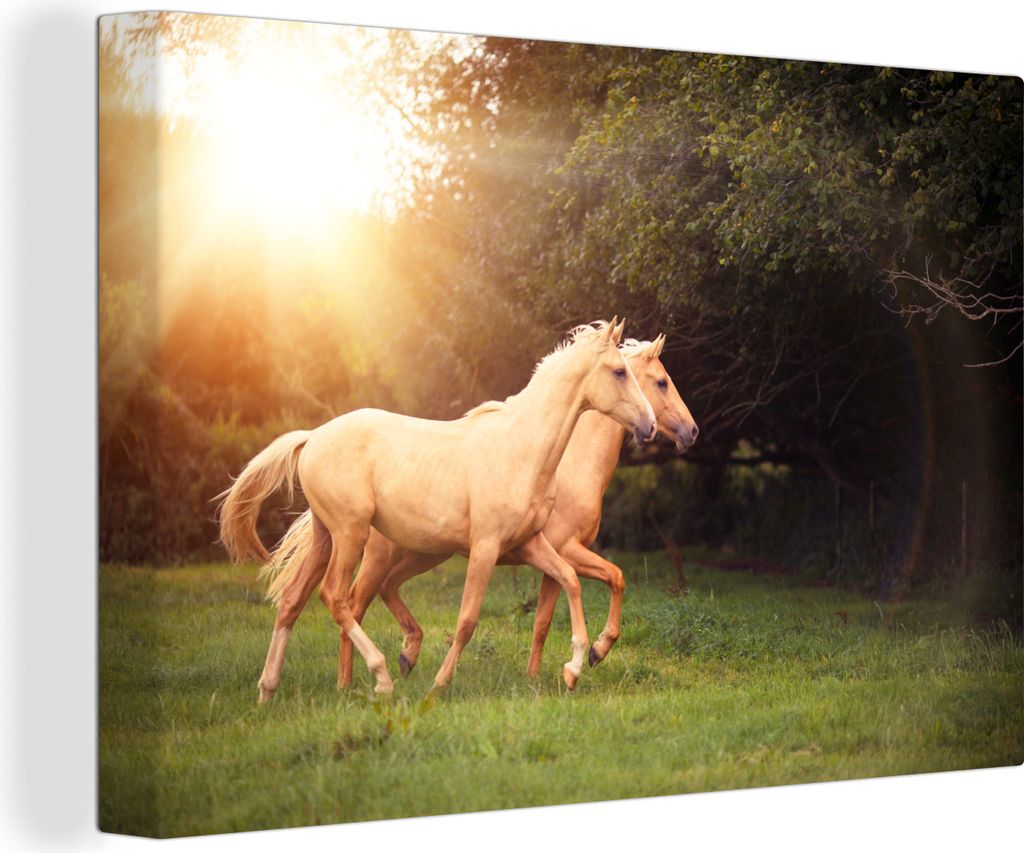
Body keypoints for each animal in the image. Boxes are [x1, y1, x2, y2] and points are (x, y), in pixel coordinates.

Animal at [218, 319, 656, 702]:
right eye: (620, 371)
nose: (650, 426)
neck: (522, 449)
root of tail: (312, 438)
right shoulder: (485, 548)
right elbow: (467, 621)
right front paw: (440, 685)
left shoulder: (532, 543)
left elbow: (571, 580)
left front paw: (576, 666)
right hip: (351, 535)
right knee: (336, 598)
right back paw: (381, 677)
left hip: (328, 537)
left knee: (293, 601)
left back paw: (268, 690)